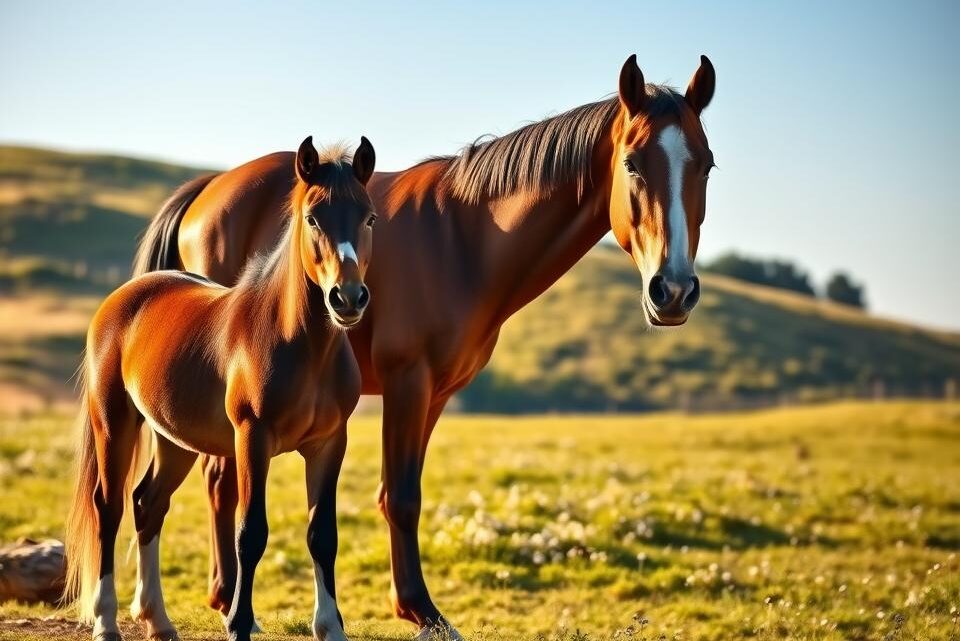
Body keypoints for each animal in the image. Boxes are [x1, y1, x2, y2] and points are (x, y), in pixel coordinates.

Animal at [65, 136, 377, 641]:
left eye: (369, 217)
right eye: (313, 218)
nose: (347, 299)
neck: (301, 344)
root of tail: (124, 297)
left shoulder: (330, 443)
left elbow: (322, 536)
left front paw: (331, 626)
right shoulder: (253, 438)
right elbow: (250, 533)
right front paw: (239, 622)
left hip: (175, 439)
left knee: (148, 503)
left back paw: (158, 620)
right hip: (113, 424)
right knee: (108, 508)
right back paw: (106, 622)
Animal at [132, 54, 717, 639]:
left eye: (707, 165)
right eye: (633, 165)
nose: (673, 290)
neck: (464, 239)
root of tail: (209, 188)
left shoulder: (435, 393)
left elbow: (402, 491)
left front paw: (416, 609)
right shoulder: (406, 381)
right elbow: (401, 498)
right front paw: (420, 608)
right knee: (218, 480)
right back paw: (228, 599)